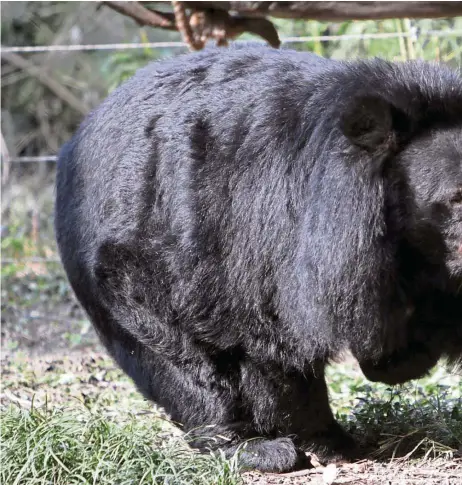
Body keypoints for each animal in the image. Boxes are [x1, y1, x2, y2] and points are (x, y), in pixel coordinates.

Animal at [55, 44, 462, 468]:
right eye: (456, 197)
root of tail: (75, 141)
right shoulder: (267, 244)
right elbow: (276, 342)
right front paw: (325, 441)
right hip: (129, 275)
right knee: (186, 365)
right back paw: (253, 445)